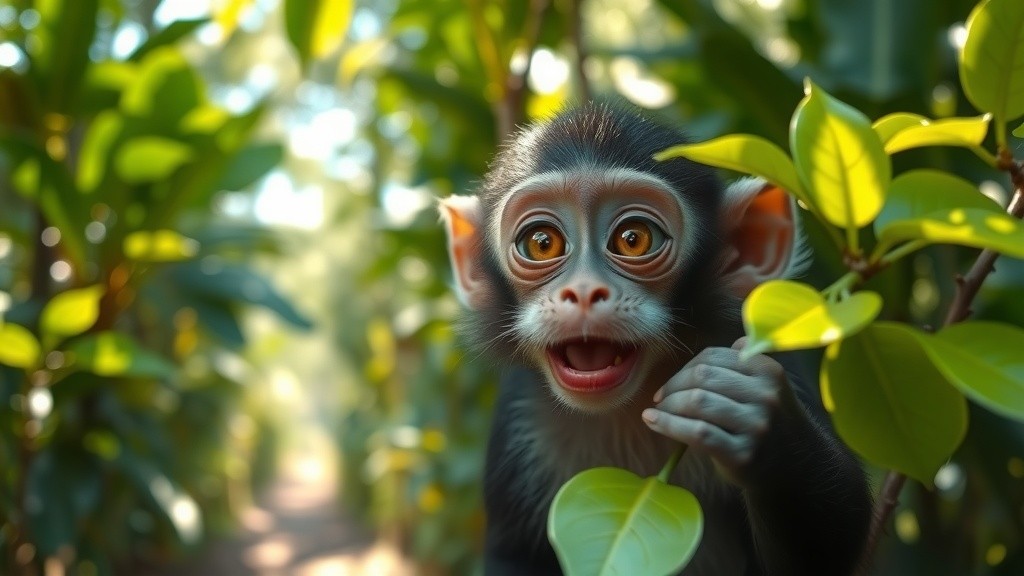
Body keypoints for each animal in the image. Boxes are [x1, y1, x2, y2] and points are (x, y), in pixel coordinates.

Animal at [439, 103, 872, 575]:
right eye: (541, 243)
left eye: (633, 239)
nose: (585, 291)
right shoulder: (515, 421)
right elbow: (511, 556)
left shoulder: (763, 355)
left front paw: (760, 423)